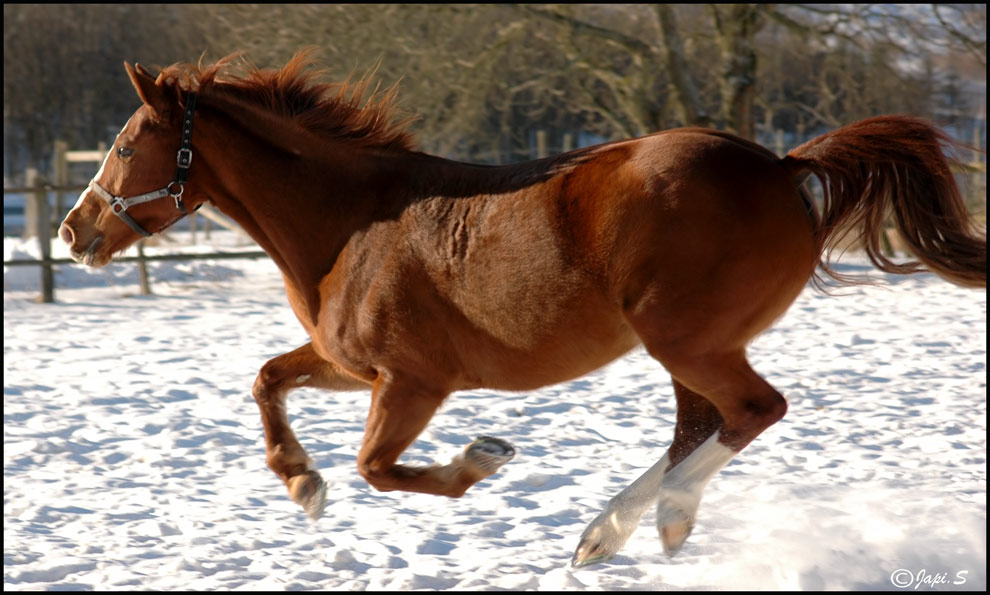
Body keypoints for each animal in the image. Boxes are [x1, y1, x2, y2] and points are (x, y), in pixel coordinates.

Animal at [58, 53, 988, 564]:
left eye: (124, 143)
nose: (73, 232)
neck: (352, 224)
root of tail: (782, 166)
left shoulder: (411, 382)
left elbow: (379, 466)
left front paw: (484, 456)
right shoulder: (349, 363)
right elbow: (266, 378)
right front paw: (301, 482)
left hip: (688, 339)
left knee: (752, 410)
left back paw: (651, 520)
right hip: (687, 345)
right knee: (703, 421)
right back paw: (615, 532)